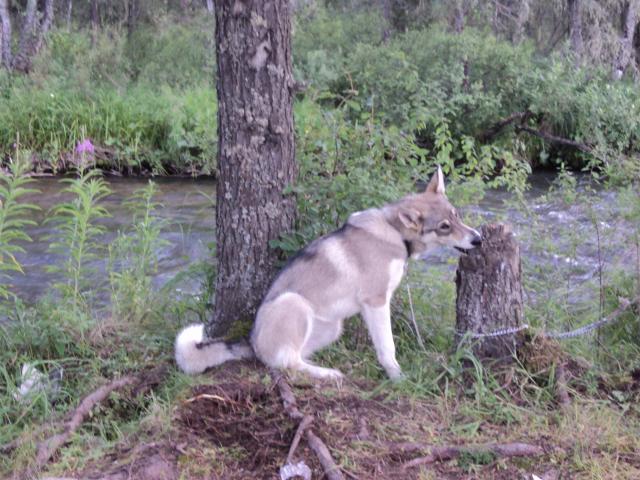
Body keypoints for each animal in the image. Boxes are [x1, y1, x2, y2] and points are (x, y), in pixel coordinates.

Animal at [175, 167, 480, 380]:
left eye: (456, 215)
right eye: (443, 227)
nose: (478, 239)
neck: (394, 232)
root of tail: (251, 343)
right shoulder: (376, 302)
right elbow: (387, 348)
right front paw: (397, 378)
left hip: (332, 328)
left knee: (294, 357)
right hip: (294, 304)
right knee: (286, 363)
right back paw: (327, 374)